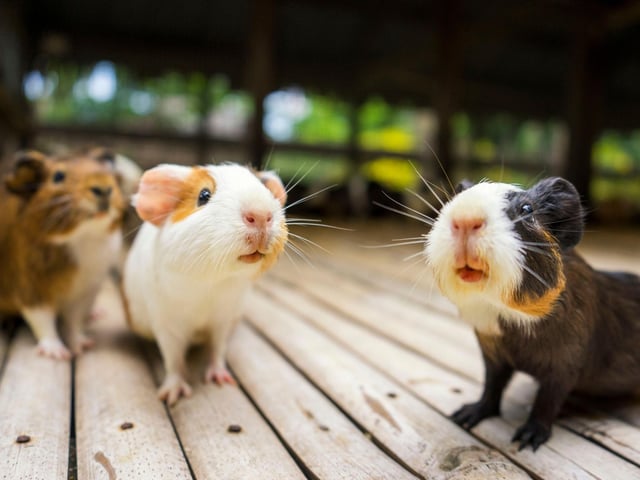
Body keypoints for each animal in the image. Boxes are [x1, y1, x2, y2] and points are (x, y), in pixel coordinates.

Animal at [0, 148, 125, 359]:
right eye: (58, 176)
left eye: (105, 171)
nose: (103, 188)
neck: (82, 239)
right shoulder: (31, 289)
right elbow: (43, 320)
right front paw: (56, 354)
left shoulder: (84, 292)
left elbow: (74, 321)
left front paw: (83, 346)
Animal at [122, 163, 288, 405]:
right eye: (204, 195)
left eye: (264, 188)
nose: (260, 215)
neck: (211, 285)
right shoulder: (167, 326)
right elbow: (173, 360)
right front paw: (172, 394)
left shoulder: (222, 321)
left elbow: (217, 350)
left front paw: (221, 380)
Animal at [425, 176, 640, 451]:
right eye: (455, 197)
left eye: (527, 209)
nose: (465, 219)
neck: (505, 316)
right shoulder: (493, 356)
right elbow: (491, 387)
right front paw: (465, 415)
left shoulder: (564, 367)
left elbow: (546, 402)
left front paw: (526, 440)